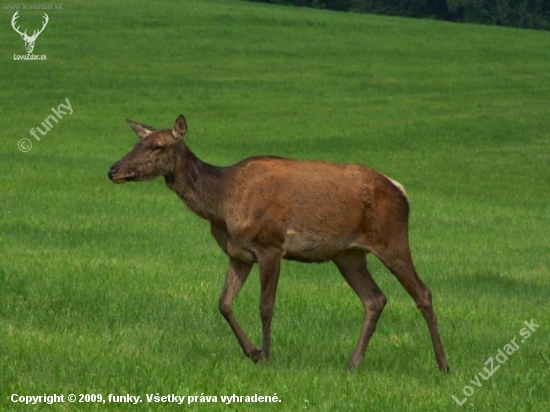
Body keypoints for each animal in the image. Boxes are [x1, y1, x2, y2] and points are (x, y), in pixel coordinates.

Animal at [109, 114, 452, 372]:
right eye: (136, 142)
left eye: (157, 146)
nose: (113, 170)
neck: (223, 203)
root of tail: (401, 191)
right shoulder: (238, 254)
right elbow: (224, 303)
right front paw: (253, 352)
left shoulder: (270, 245)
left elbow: (266, 306)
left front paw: (268, 357)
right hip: (348, 254)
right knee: (374, 299)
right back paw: (352, 364)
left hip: (391, 238)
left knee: (422, 292)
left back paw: (443, 364)